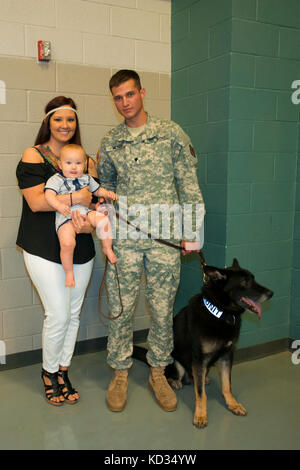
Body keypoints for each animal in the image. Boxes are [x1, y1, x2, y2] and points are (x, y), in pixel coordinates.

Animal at [133, 258, 272, 428]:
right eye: (245, 282)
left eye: (253, 278)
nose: (271, 293)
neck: (220, 313)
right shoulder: (199, 360)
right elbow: (200, 393)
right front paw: (200, 415)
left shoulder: (226, 356)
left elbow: (227, 385)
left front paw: (233, 404)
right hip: (177, 364)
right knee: (167, 375)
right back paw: (175, 382)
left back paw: (203, 379)